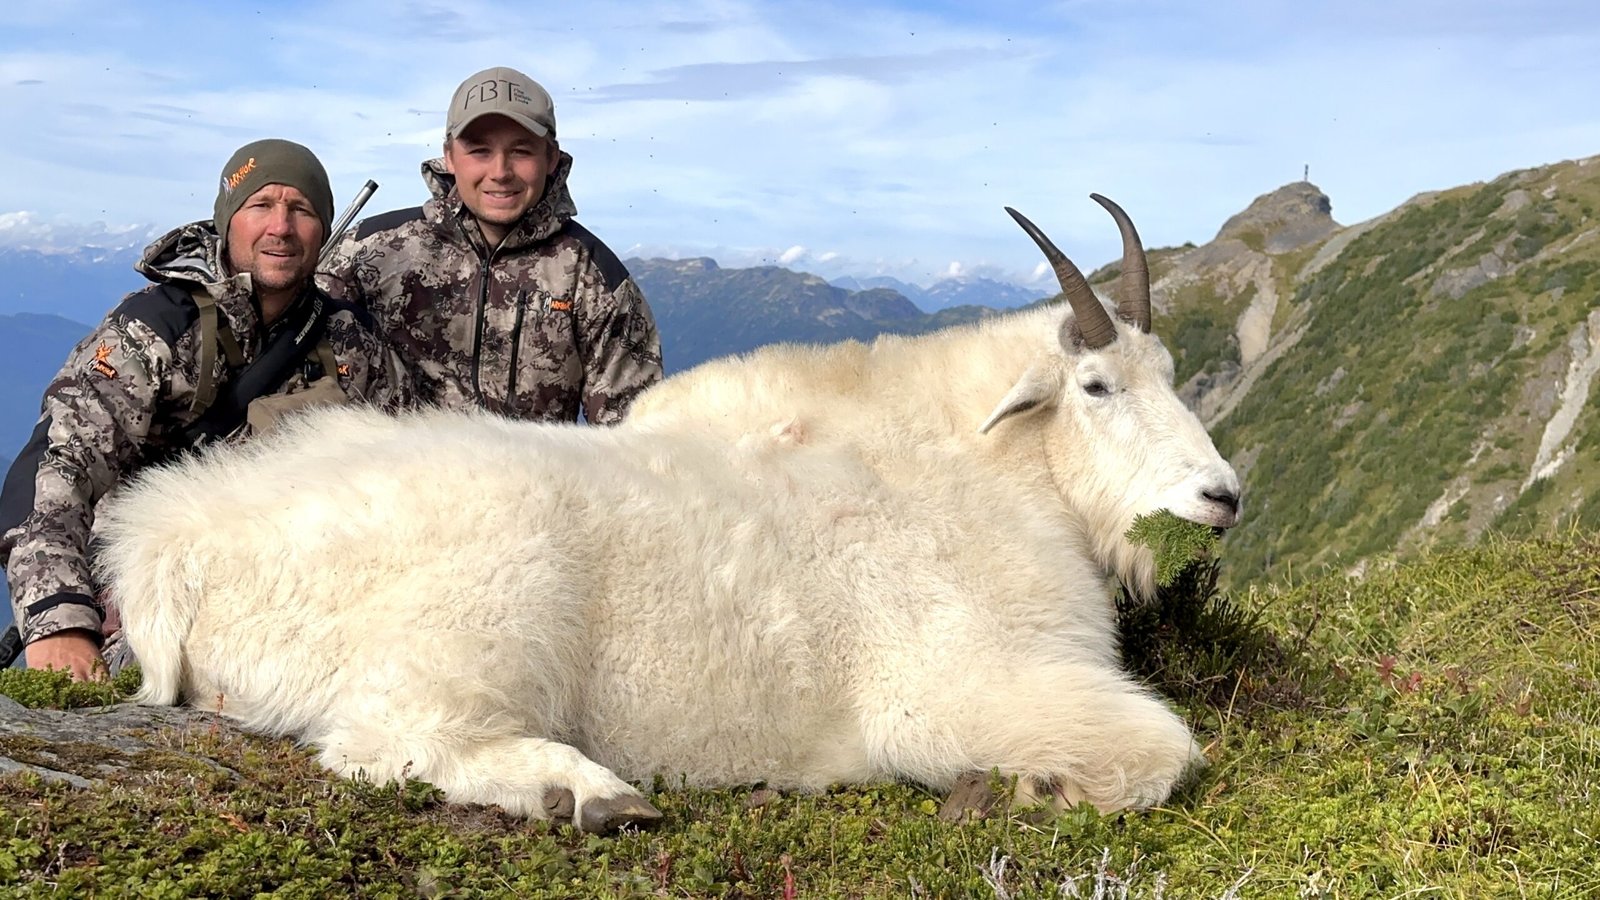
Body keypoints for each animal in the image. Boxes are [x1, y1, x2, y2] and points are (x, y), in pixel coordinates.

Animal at [94, 196, 1242, 832]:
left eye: (1172, 372)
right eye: (1096, 386)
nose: (1221, 496)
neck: (976, 469)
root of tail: (173, 543)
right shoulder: (951, 690)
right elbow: (1166, 753)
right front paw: (1033, 789)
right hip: (483, 617)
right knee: (391, 739)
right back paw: (585, 793)